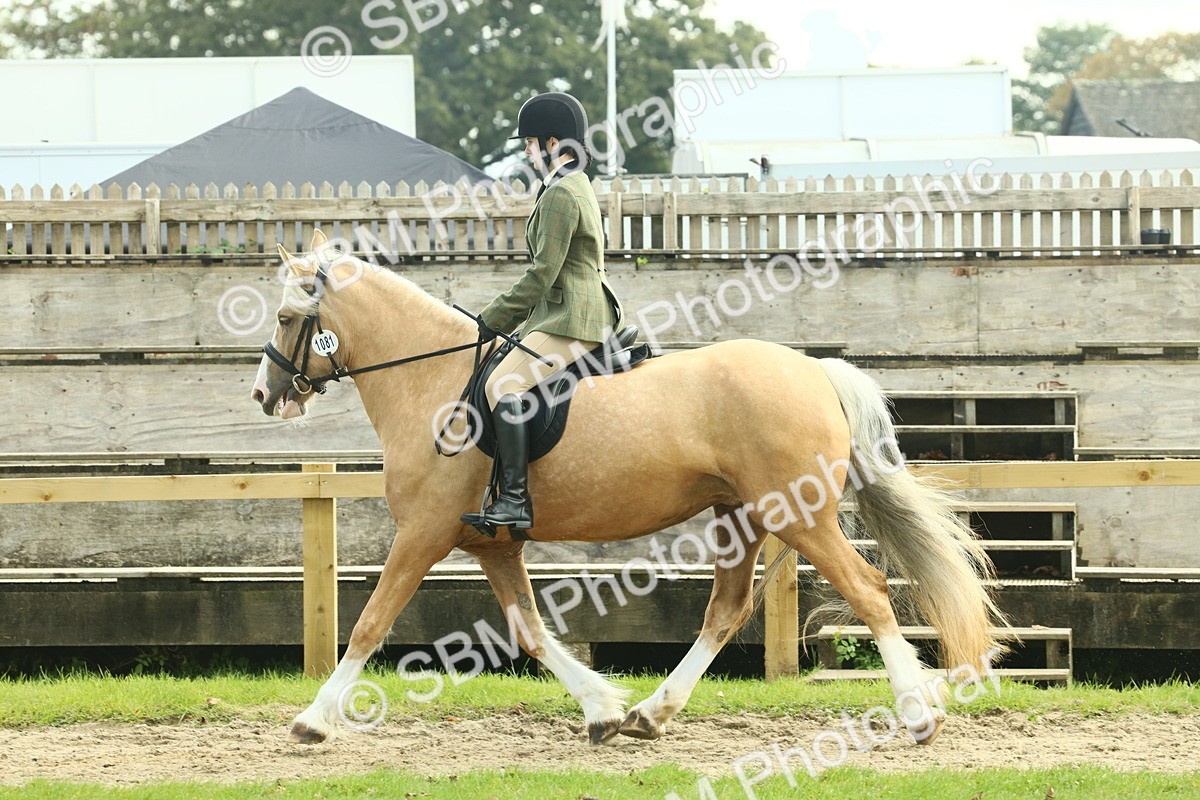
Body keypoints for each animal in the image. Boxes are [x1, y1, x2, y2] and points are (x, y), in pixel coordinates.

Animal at [250, 230, 1007, 747]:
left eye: (286, 317)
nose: (264, 395)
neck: (435, 381)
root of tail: (815, 370)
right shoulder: (492, 544)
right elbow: (531, 632)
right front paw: (603, 710)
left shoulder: (423, 534)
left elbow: (369, 624)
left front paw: (312, 720)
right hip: (740, 518)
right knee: (725, 611)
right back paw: (650, 712)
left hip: (800, 516)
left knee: (868, 592)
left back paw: (917, 714)